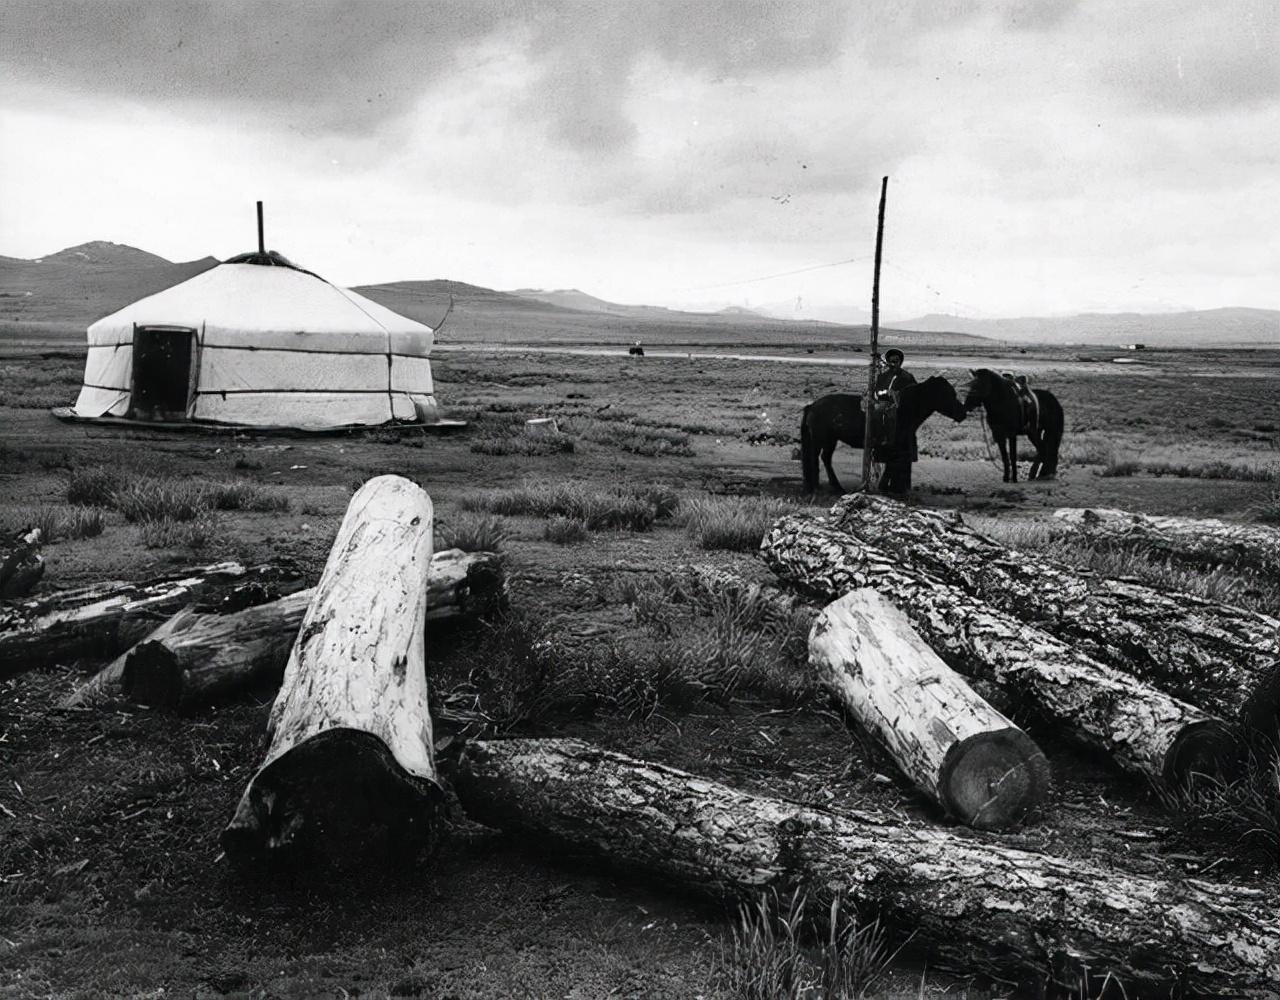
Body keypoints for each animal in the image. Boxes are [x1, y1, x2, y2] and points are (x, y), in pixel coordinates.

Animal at [793, 373, 962, 494]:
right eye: (948, 393)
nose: (962, 413)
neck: (903, 409)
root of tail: (812, 406)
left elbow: (893, 465)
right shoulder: (893, 447)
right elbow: (891, 466)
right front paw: (884, 488)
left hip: (831, 441)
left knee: (825, 459)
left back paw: (836, 487)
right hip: (821, 440)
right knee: (815, 458)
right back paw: (815, 486)